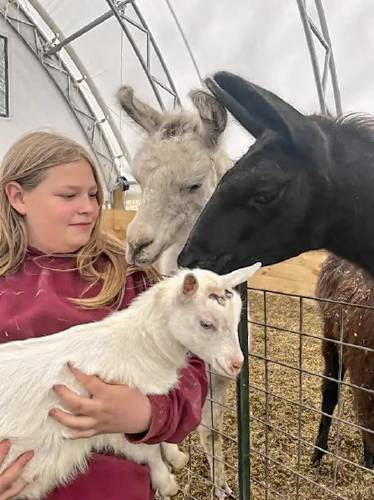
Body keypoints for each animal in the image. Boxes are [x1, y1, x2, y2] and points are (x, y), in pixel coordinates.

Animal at [0, 264, 260, 498]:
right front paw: (166, 482)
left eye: (237, 319)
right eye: (206, 323)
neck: (139, 345)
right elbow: (148, 452)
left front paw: (175, 456)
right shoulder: (111, 427)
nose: (237, 363)